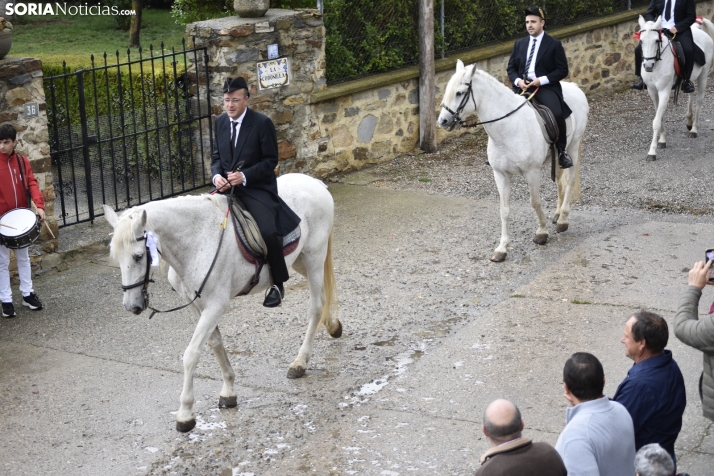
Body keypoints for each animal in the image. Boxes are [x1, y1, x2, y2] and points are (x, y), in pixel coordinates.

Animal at [102, 174, 342, 432]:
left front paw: (185, 413)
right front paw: (228, 390)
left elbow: (191, 354)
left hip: (313, 257)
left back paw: (300, 362)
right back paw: (333, 325)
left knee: (316, 306)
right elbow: (215, 343)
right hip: (298, 262)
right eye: (116, 258)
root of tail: (314, 182)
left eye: (138, 256)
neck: (197, 241)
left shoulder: (215, 306)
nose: (132, 306)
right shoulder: (197, 306)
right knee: (324, 294)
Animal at [436, 61, 588, 262]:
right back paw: (557, 214)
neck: (508, 128)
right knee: (559, 182)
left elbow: (535, 202)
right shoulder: (501, 174)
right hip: (556, 154)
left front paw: (541, 232)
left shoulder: (532, 172)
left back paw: (562, 220)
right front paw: (502, 248)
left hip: (572, 146)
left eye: (459, 93)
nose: (442, 121)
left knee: (569, 181)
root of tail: (574, 87)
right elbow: (504, 210)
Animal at [636, 14, 712, 161]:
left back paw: (694, 129)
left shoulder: (664, 91)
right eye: (641, 41)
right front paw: (662, 140)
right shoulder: (652, 91)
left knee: (699, 100)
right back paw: (689, 120)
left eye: (656, 41)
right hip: (691, 76)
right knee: (690, 92)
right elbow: (660, 116)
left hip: (703, 75)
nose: (648, 66)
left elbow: (656, 121)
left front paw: (652, 152)